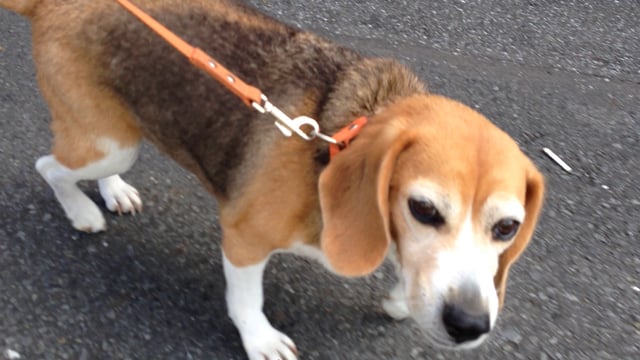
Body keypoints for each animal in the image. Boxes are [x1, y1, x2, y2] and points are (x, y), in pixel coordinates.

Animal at [1, 0, 544, 360]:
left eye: (507, 228)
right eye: (424, 209)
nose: (469, 325)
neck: (339, 138)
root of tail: (56, 1)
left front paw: (399, 298)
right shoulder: (245, 236)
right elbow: (247, 299)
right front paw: (260, 339)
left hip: (118, 131)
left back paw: (113, 191)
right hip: (108, 141)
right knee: (49, 167)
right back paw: (82, 211)